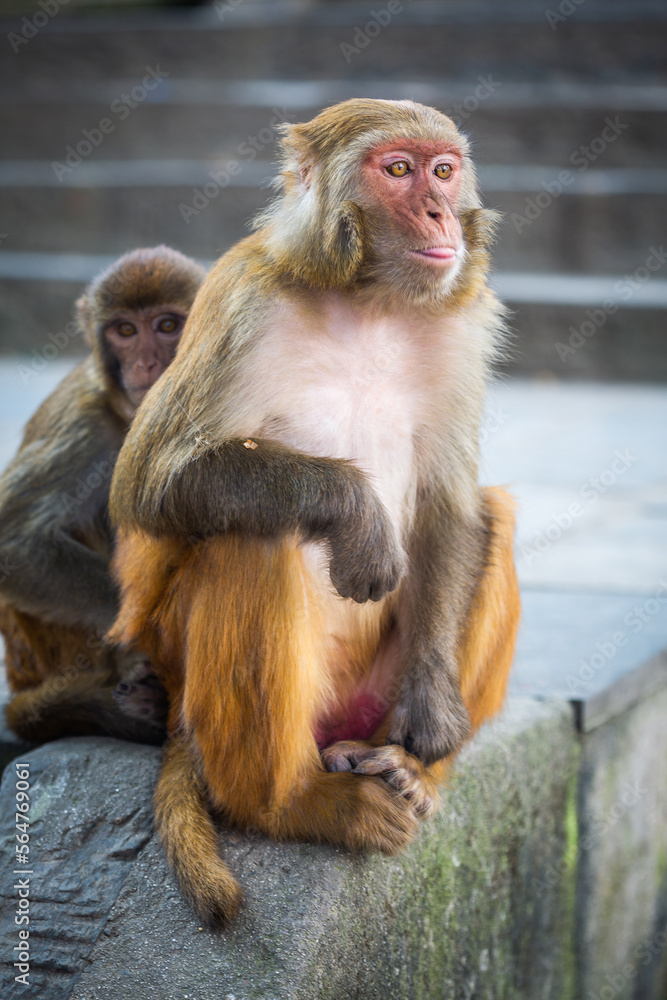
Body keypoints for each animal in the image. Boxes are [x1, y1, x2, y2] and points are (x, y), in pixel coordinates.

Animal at [108, 99, 520, 920]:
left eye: (442, 169)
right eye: (397, 170)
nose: (438, 212)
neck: (369, 300)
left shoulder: (465, 320)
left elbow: (453, 502)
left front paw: (433, 714)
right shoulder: (242, 300)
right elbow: (149, 482)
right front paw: (355, 511)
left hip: (366, 697)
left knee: (494, 515)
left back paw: (404, 767)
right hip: (198, 678)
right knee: (252, 537)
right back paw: (292, 803)